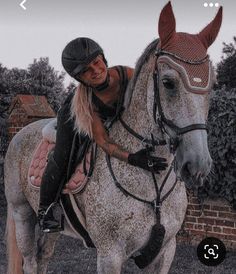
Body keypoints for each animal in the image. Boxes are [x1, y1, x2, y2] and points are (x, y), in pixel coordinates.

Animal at [3, 2, 222, 274]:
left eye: (212, 84)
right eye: (168, 82)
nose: (197, 166)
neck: (153, 188)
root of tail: (22, 132)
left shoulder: (166, 251)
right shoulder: (110, 254)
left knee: (43, 258)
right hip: (22, 212)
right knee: (31, 260)